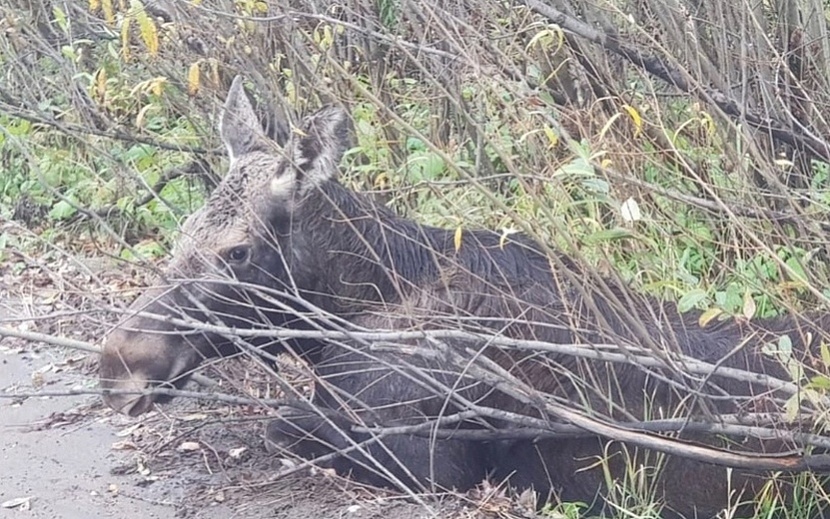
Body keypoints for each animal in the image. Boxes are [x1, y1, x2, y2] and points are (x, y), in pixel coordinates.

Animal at [102, 77, 830, 519]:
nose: (119, 363)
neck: (351, 304)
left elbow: (281, 423)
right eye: (182, 233)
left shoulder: (430, 458)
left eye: (237, 252)